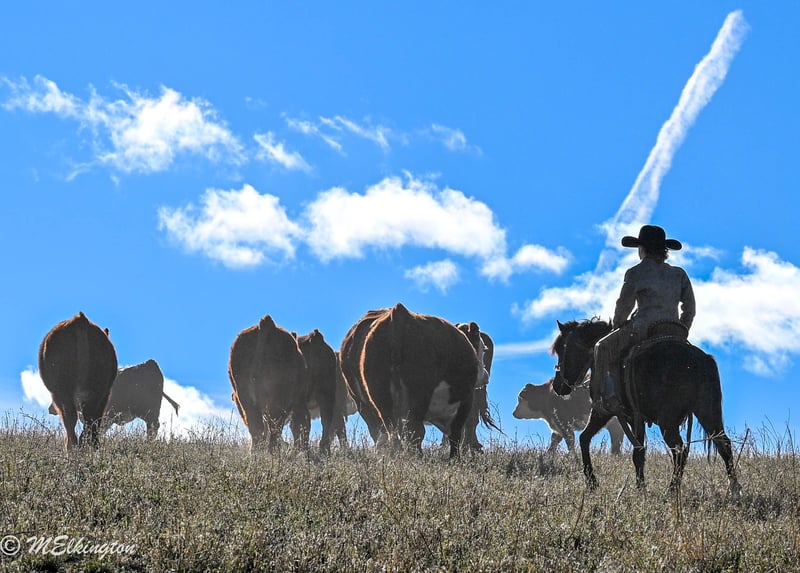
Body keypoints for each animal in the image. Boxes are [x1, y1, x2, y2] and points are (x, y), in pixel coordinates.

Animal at [358, 302, 485, 458]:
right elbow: (456, 433)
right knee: (415, 430)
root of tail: (400, 314)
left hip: (380, 395)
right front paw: (454, 458)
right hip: (419, 394)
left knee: (392, 430)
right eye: (482, 348)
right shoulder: (465, 401)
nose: (484, 375)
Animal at [550, 318, 741, 497]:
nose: (558, 386)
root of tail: (702, 360)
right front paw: (639, 487)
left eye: (561, 348)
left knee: (680, 451)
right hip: (708, 413)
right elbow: (637, 452)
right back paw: (734, 488)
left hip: (668, 421)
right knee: (723, 444)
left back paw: (672, 490)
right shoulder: (634, 418)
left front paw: (593, 482)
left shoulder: (604, 412)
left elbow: (586, 439)